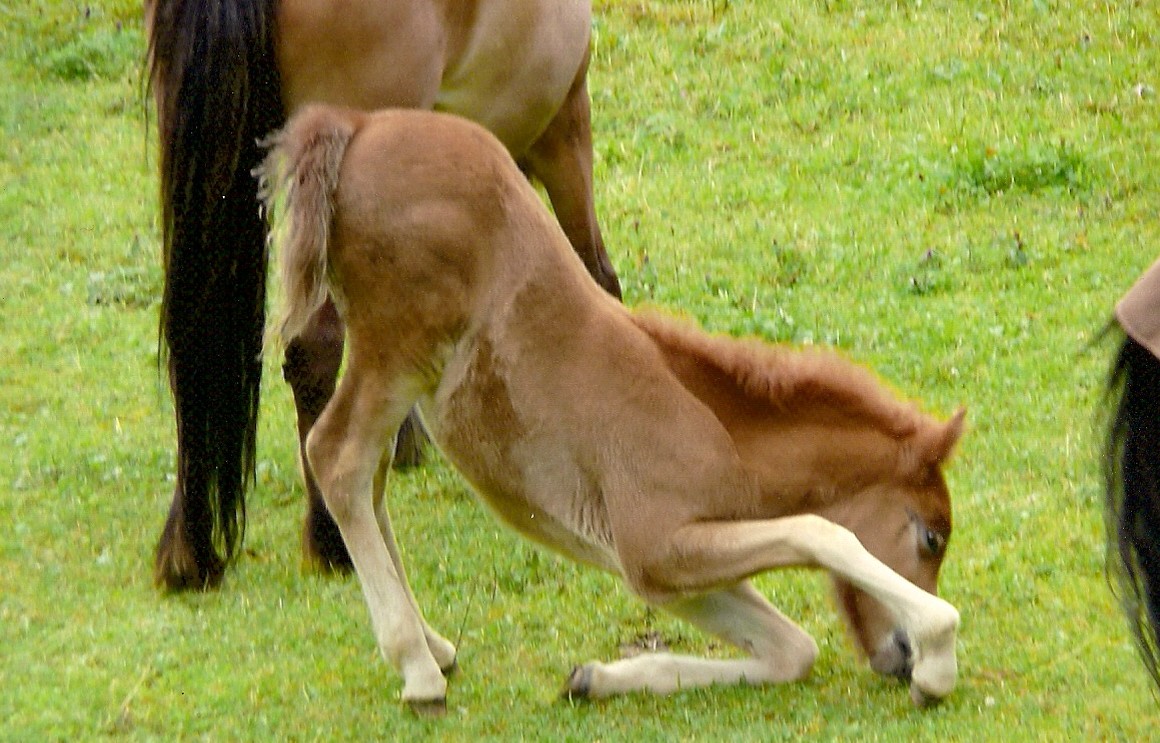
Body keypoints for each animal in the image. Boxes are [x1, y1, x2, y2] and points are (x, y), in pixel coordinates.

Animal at [146, 1, 626, 591]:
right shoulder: (561, 126)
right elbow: (597, 278)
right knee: (312, 350)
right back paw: (332, 540)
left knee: (195, 346)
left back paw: (190, 551)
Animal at [258, 105, 965, 714]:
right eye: (931, 537)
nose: (899, 660)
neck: (722, 437)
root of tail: (359, 125)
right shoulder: (657, 542)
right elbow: (820, 533)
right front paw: (936, 655)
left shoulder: (656, 567)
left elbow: (791, 648)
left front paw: (593, 677)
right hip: (397, 348)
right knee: (339, 457)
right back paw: (417, 668)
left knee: (369, 474)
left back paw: (434, 646)